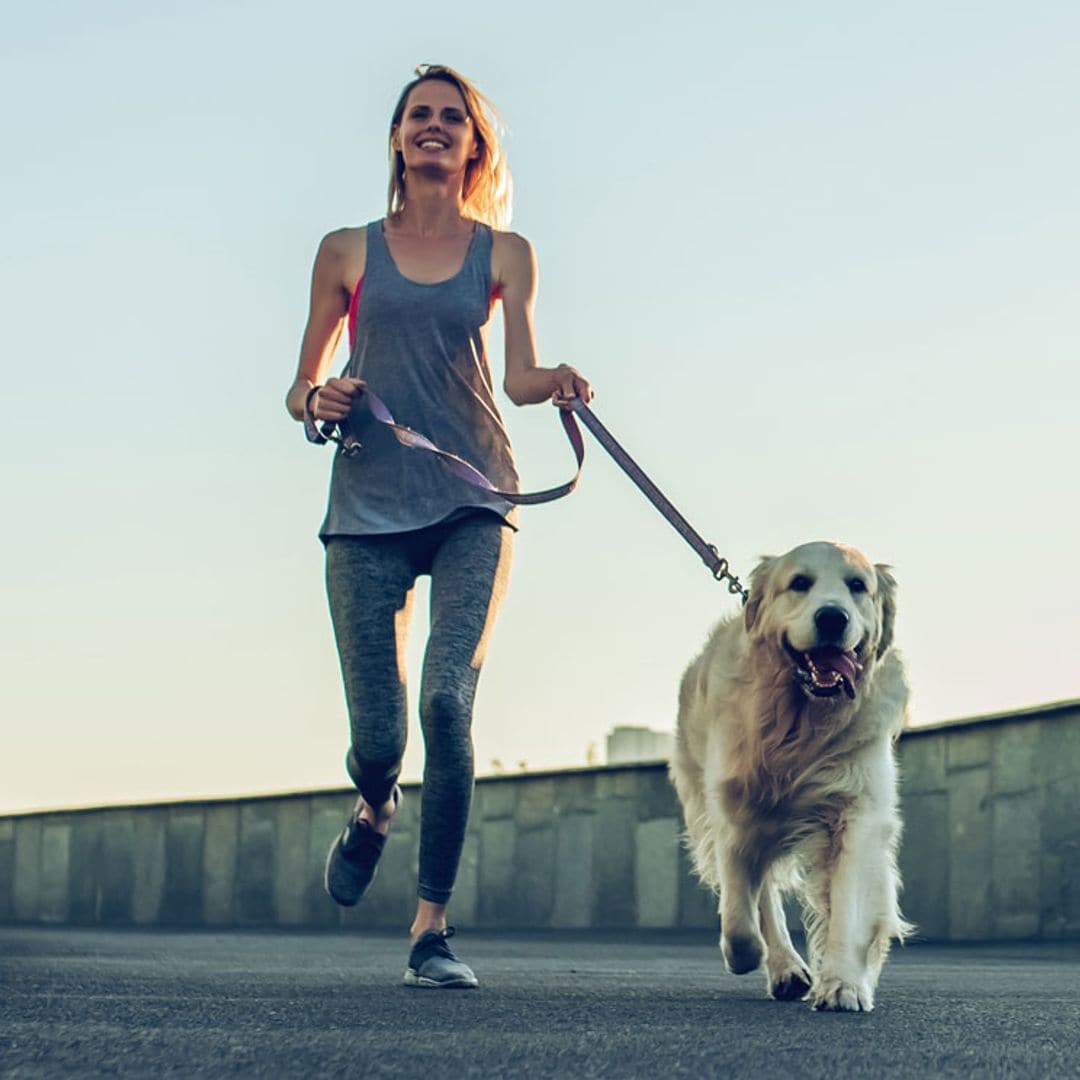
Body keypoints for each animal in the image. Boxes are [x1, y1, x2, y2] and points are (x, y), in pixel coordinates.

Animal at [673, 544, 911, 1006]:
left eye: (858, 586)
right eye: (800, 582)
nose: (833, 617)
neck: (800, 722)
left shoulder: (858, 810)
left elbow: (850, 904)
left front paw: (843, 983)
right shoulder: (733, 807)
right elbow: (739, 915)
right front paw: (745, 954)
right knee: (759, 895)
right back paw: (783, 966)